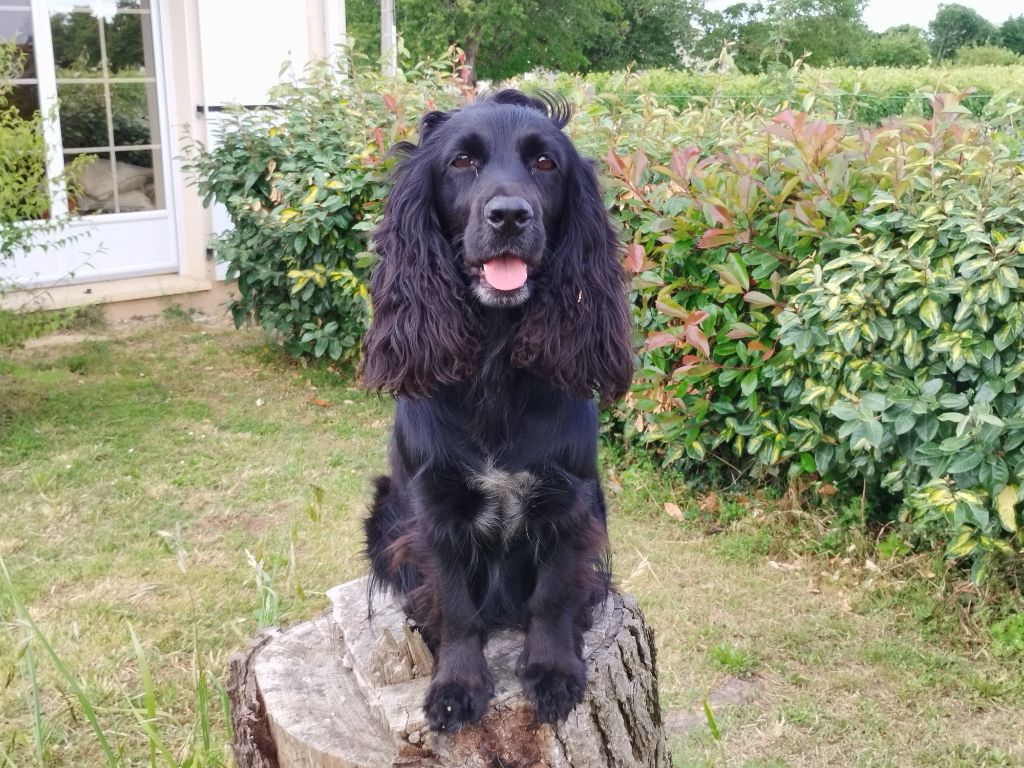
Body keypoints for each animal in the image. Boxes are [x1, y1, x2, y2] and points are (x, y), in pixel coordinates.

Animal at [360, 91, 630, 733]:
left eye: (545, 164)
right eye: (461, 161)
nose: (510, 216)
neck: (496, 364)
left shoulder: (569, 500)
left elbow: (553, 594)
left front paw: (553, 672)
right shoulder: (434, 509)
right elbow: (457, 605)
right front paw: (456, 686)